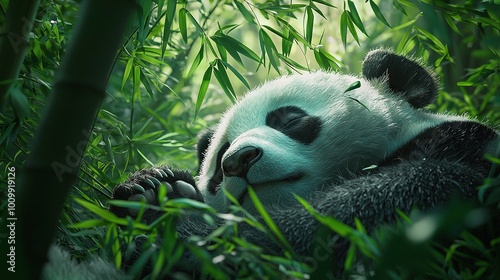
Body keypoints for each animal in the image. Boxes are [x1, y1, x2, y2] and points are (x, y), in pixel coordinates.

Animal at [45, 48, 498, 278]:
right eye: (218, 162)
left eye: (289, 119)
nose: (239, 161)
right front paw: (154, 190)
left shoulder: (463, 152)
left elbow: (353, 219)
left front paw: (177, 238)